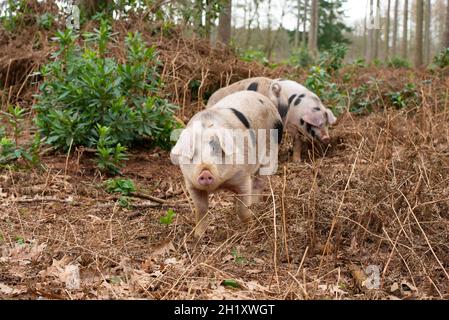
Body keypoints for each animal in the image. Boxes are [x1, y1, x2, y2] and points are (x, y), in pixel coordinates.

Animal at [171, 90, 280, 238]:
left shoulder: (243, 177)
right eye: (192, 153)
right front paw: (198, 236)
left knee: (259, 183)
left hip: (270, 152)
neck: (220, 186)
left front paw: (249, 230)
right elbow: (200, 210)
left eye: (216, 150)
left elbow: (243, 208)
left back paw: (255, 205)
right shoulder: (191, 184)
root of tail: (265, 99)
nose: (205, 172)